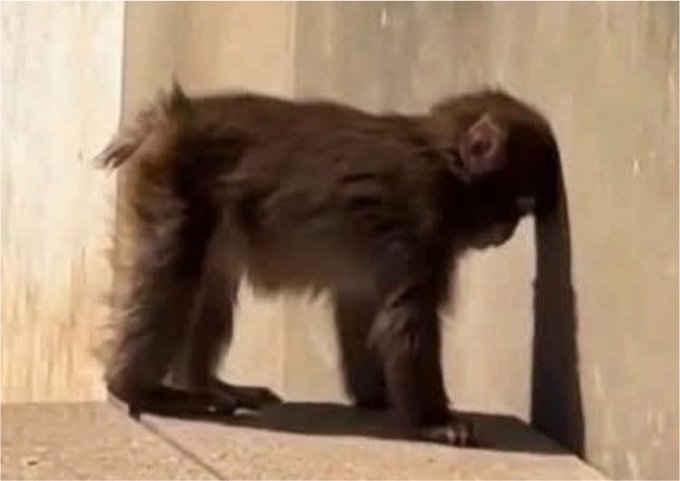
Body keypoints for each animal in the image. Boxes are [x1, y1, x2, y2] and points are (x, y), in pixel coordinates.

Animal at [96, 84, 558, 446]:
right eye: (521, 205)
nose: (508, 233)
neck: (442, 161)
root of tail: (171, 117)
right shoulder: (423, 223)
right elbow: (407, 319)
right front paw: (436, 421)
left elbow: (360, 304)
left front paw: (375, 397)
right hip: (175, 188)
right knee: (172, 270)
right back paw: (139, 388)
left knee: (209, 281)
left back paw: (205, 384)